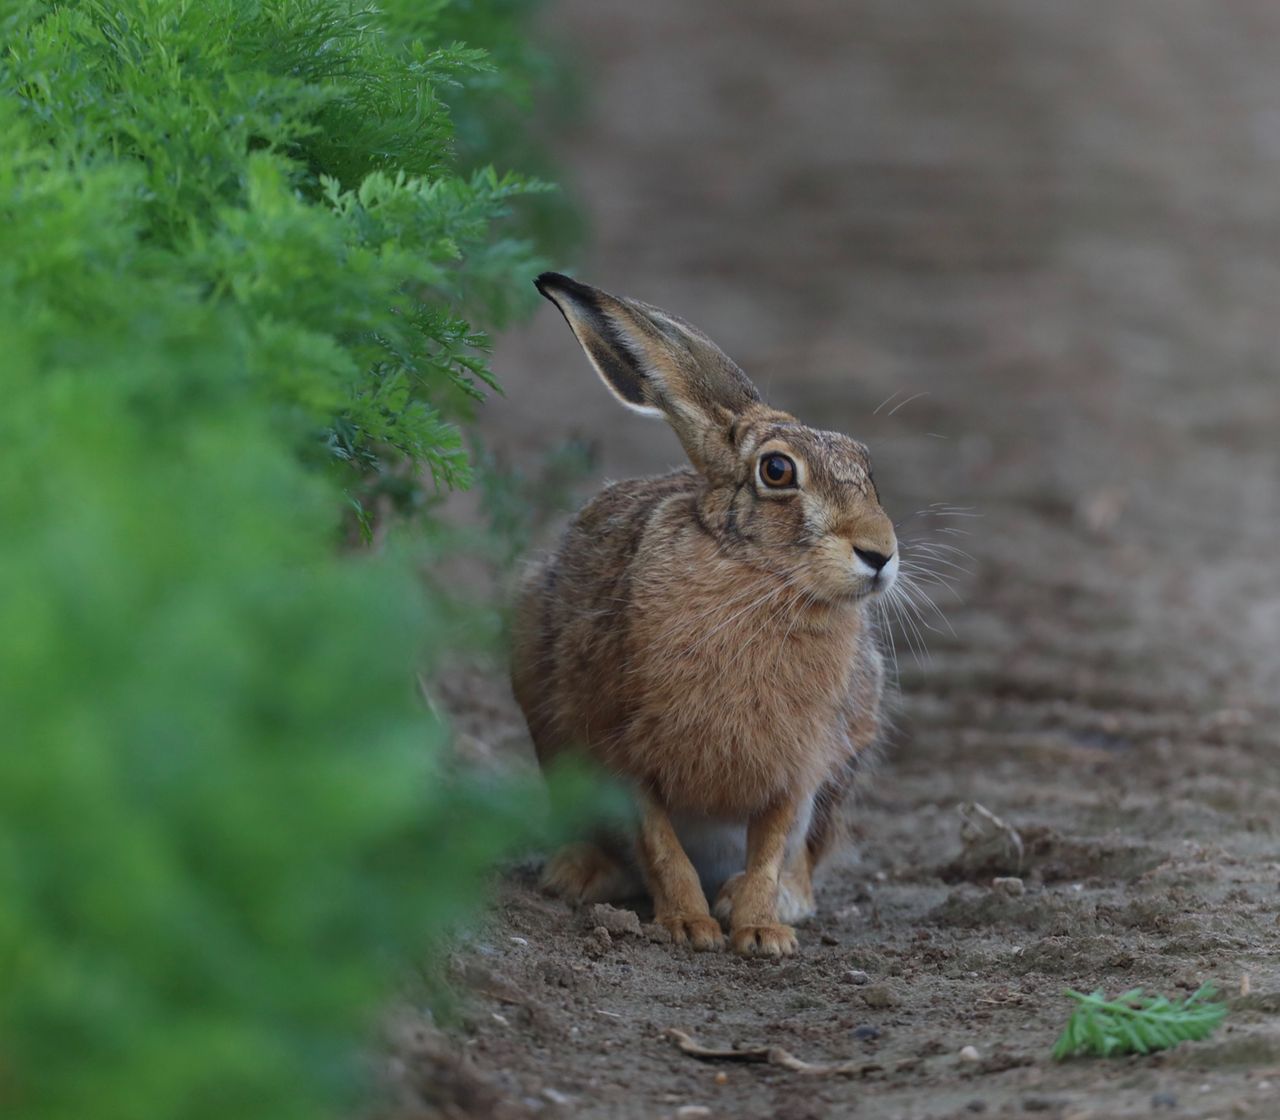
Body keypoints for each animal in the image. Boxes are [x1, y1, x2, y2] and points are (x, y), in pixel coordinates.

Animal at [511, 273, 897, 957]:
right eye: (777, 470)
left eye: (865, 466)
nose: (882, 553)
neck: (761, 582)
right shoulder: (619, 746)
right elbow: (660, 843)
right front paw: (689, 926)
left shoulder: (799, 767)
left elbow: (771, 846)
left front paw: (762, 930)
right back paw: (580, 873)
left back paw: (780, 900)